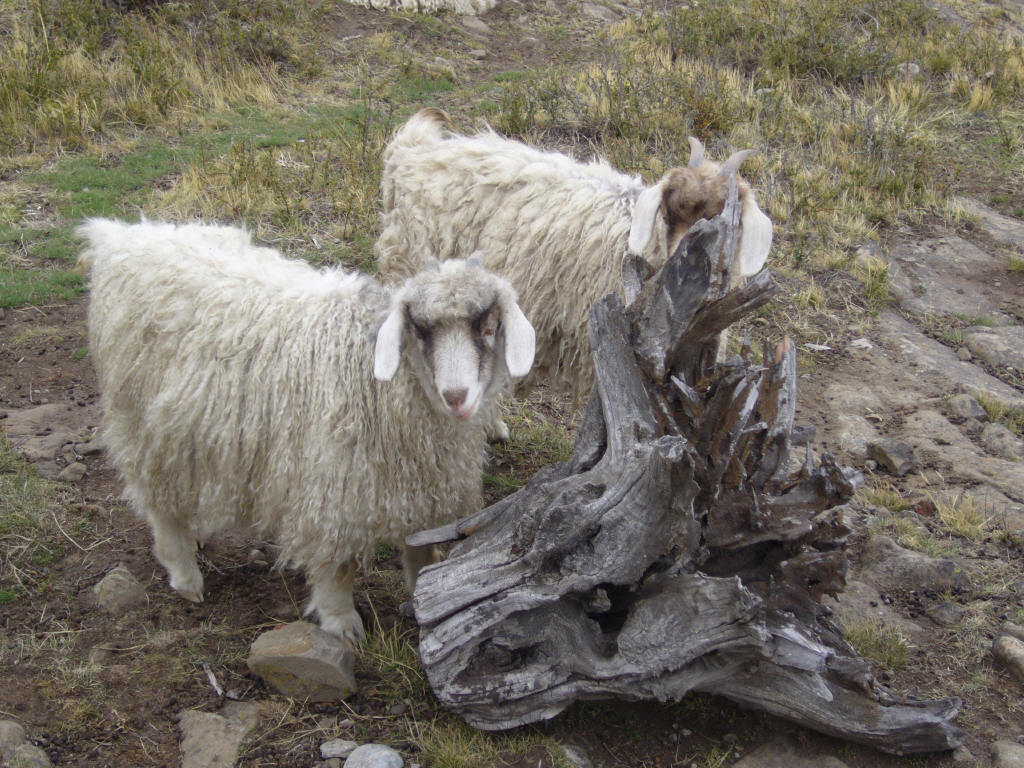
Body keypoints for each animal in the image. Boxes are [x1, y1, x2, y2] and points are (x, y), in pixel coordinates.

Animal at [75, 218, 535, 647]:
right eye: (420, 330)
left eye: (487, 327)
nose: (456, 396)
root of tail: (119, 237)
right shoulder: (331, 485)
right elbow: (336, 563)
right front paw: (341, 621)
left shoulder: (416, 485)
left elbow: (420, 548)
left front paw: (422, 591)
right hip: (146, 425)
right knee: (159, 505)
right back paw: (185, 574)